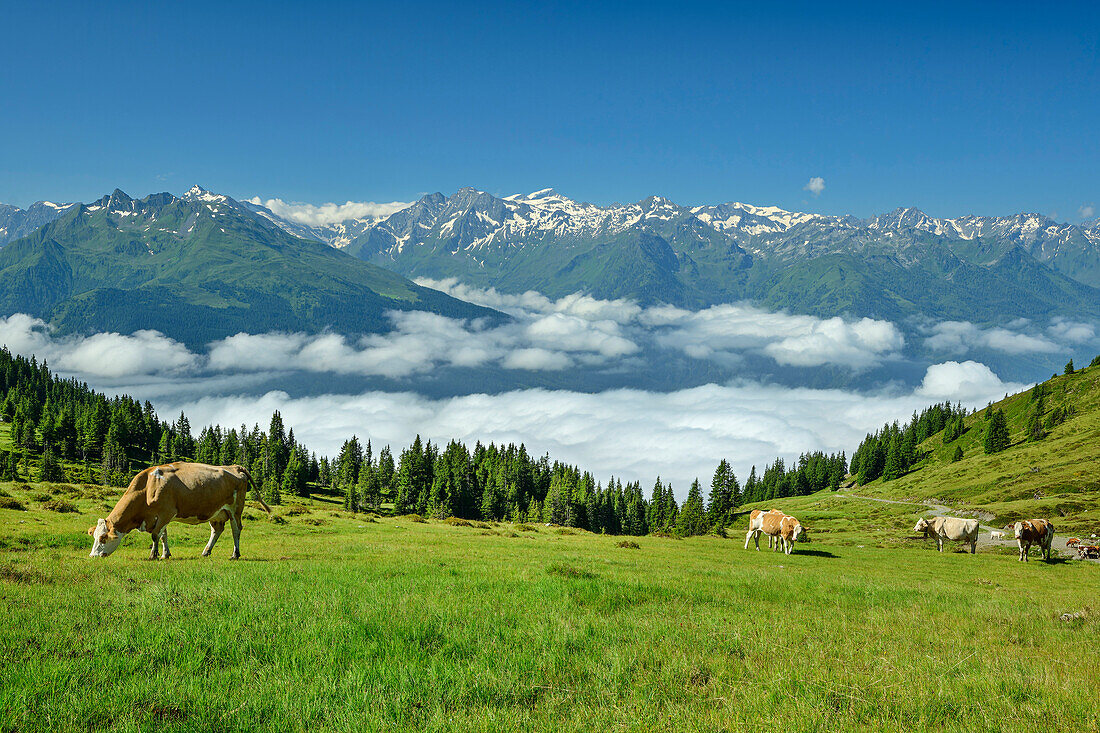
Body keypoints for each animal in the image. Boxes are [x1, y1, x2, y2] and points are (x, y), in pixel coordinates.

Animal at [84, 462, 267, 559]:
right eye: (94, 536)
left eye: (102, 538)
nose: (92, 555)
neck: (148, 486)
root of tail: (235, 467)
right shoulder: (159, 517)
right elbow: (162, 535)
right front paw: (165, 554)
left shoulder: (166, 512)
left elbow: (155, 535)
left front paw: (153, 555)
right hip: (217, 513)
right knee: (217, 530)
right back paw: (206, 551)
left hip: (236, 510)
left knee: (236, 530)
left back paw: (235, 554)